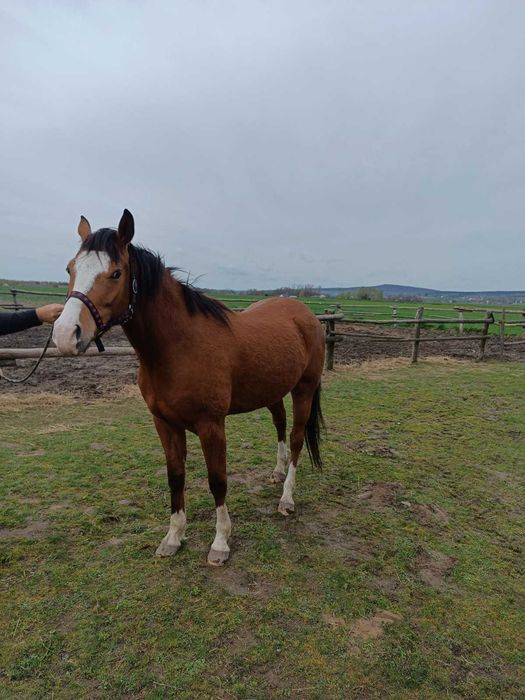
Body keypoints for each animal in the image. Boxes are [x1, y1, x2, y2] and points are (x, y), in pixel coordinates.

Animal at [53, 210, 325, 565]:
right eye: (70, 268)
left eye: (115, 273)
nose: (64, 335)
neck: (179, 346)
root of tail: (305, 314)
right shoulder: (165, 424)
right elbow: (176, 477)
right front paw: (173, 537)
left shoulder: (212, 426)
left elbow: (217, 481)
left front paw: (220, 543)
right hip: (273, 391)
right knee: (279, 426)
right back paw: (277, 474)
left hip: (304, 390)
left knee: (295, 438)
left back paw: (287, 499)